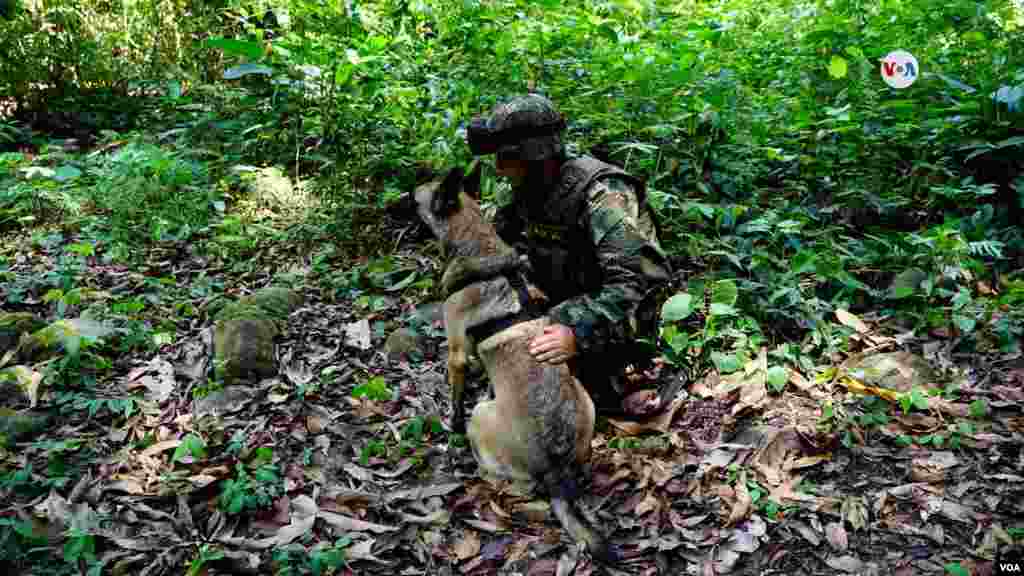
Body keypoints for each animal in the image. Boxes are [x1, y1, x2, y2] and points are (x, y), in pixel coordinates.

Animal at [407, 159, 614, 561]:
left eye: (412, 199)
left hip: (481, 416)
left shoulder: (457, 355)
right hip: (586, 400)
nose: (389, 206)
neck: (476, 242)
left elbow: (455, 400)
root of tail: (557, 468)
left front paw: (450, 425)